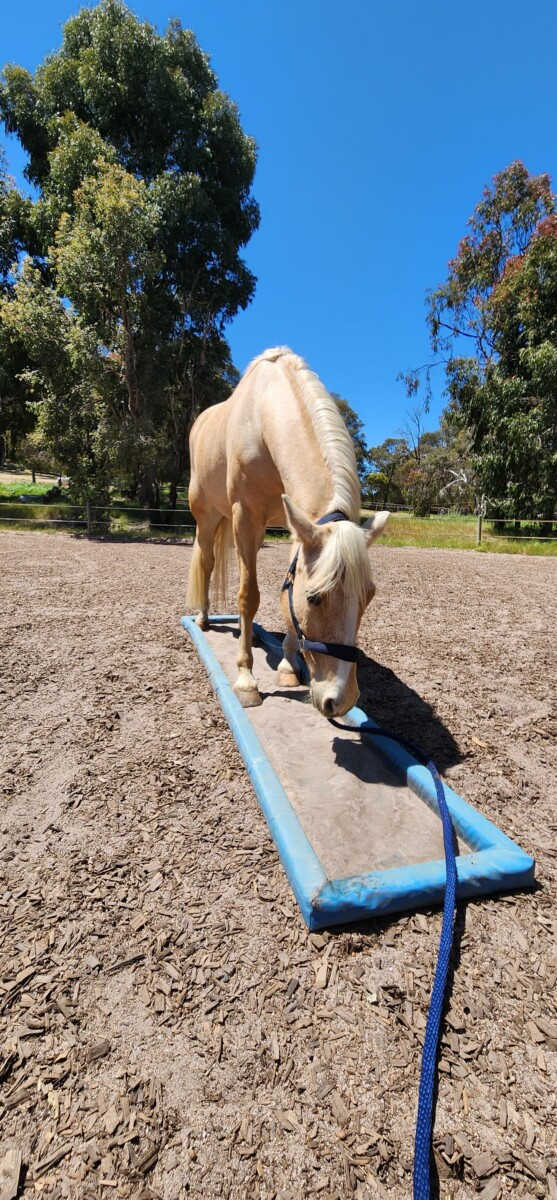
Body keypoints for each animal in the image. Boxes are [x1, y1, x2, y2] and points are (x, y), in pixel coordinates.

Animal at [187, 347, 388, 717]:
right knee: (207, 563)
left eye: (369, 596)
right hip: (207, 516)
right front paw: (247, 680)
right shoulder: (245, 517)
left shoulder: (296, 525)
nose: (341, 700)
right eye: (315, 598)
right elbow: (248, 596)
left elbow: (285, 593)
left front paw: (288, 666)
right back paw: (204, 618)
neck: (264, 418)